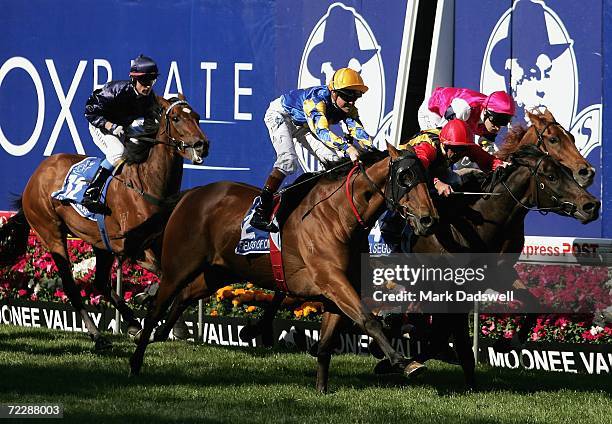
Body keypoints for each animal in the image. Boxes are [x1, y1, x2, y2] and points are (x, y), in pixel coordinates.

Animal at [0, 94, 208, 350]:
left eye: (197, 116)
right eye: (177, 118)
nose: (201, 145)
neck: (148, 184)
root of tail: (37, 175)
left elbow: (172, 277)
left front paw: (159, 318)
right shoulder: (134, 247)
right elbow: (165, 275)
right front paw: (172, 323)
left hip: (100, 241)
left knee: (100, 283)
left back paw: (132, 324)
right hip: (51, 232)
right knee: (71, 286)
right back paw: (98, 336)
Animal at [129, 144, 438, 392]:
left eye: (426, 178)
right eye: (405, 177)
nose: (428, 220)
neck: (339, 216)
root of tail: (193, 193)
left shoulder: (335, 293)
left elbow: (326, 345)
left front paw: (321, 389)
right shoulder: (332, 280)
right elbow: (369, 320)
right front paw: (404, 362)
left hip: (218, 273)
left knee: (184, 296)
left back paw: (162, 333)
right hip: (179, 266)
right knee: (156, 307)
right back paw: (136, 359)